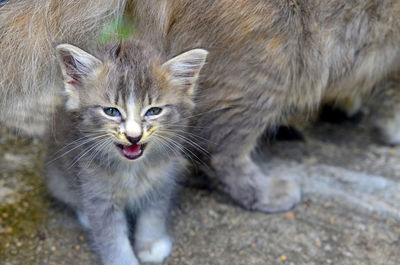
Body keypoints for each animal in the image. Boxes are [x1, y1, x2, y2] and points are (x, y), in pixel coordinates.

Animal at [45, 39, 208, 264]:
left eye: (154, 111)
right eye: (111, 111)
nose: (133, 136)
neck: (133, 169)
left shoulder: (162, 181)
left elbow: (153, 216)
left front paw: (150, 245)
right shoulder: (98, 194)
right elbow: (111, 235)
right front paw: (123, 259)